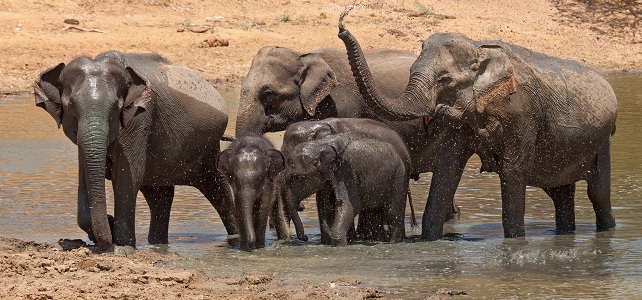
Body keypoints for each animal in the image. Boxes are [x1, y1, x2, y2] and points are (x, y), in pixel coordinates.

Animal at [33, 50, 238, 250]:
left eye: (116, 107)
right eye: (71, 106)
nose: (108, 222)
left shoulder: (139, 120)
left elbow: (126, 176)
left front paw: (122, 247)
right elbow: (84, 176)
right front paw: (108, 228)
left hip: (206, 148)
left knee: (218, 190)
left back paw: (235, 240)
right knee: (160, 198)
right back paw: (158, 244)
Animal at [338, 16, 616, 241]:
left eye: (445, 80)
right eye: (410, 71)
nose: (341, 26)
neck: (478, 47)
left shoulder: (523, 115)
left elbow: (513, 171)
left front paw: (515, 242)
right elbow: (447, 168)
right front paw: (429, 240)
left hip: (603, 141)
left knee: (598, 194)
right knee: (561, 195)